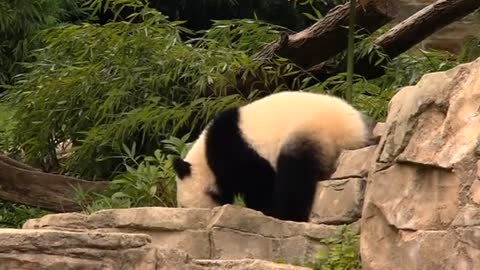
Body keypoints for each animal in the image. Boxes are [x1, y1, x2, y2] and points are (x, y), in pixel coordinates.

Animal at [172, 90, 376, 221]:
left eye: (183, 205)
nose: (190, 212)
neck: (205, 159)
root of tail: (354, 133)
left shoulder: (237, 154)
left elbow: (259, 184)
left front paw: (263, 210)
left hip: (309, 132)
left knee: (294, 176)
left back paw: (287, 215)